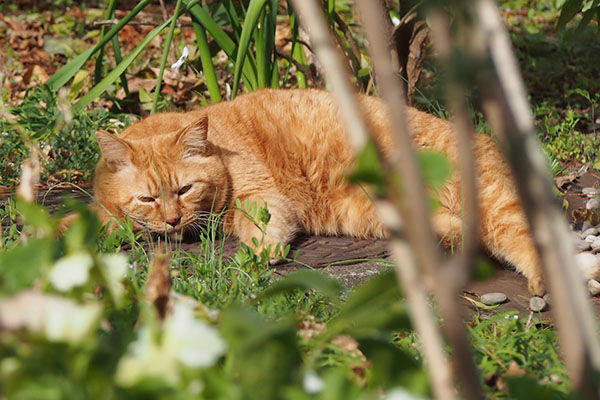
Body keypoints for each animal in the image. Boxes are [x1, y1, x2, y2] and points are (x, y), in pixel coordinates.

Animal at [92, 90, 544, 294]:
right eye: (148, 199)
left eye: (185, 189)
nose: (172, 220)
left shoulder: (261, 195)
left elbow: (261, 226)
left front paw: (258, 255)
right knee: (462, 230)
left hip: (490, 204)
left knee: (527, 241)